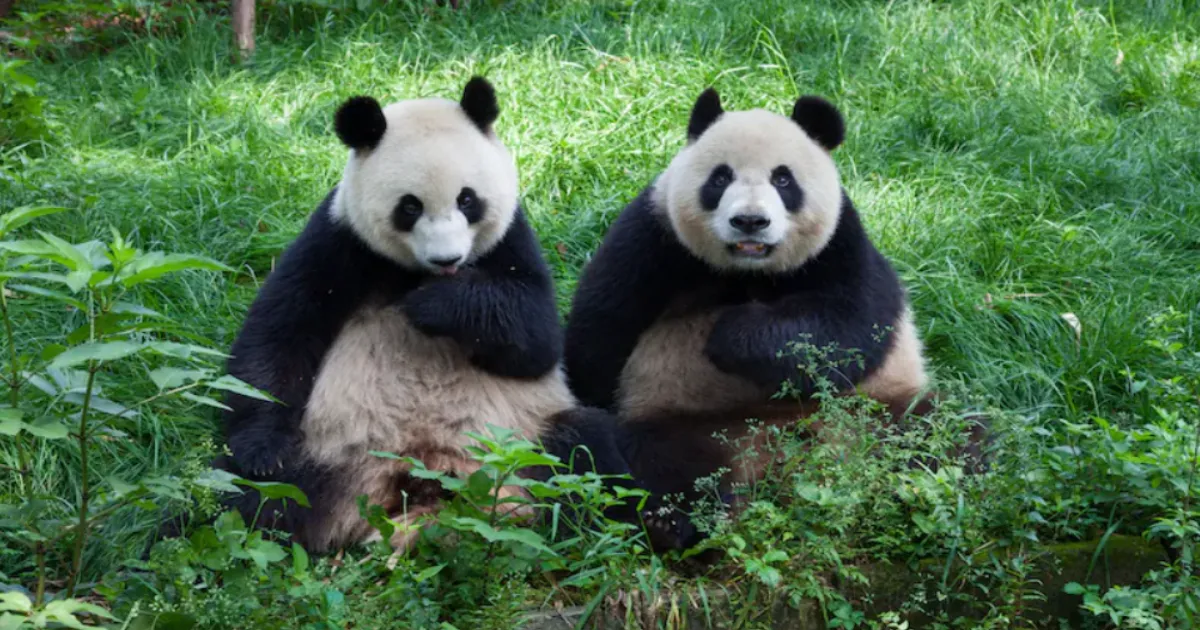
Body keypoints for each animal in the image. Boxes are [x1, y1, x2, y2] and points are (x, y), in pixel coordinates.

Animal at [215, 77, 577, 554]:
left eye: (467, 200)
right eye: (410, 206)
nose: (447, 259)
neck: (413, 272)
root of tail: (417, 485)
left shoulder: (511, 239)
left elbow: (537, 338)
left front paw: (433, 305)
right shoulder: (340, 239)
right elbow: (280, 333)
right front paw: (263, 453)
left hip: (526, 439)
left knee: (588, 456)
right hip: (327, 454)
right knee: (240, 497)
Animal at [557, 88, 973, 548]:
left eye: (783, 180)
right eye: (720, 178)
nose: (750, 222)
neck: (749, 272)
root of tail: (779, 461)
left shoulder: (842, 244)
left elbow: (849, 327)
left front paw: (732, 334)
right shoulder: (654, 236)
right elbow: (602, 325)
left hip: (874, 409)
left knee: (942, 434)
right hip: (687, 420)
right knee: (663, 460)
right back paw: (673, 523)